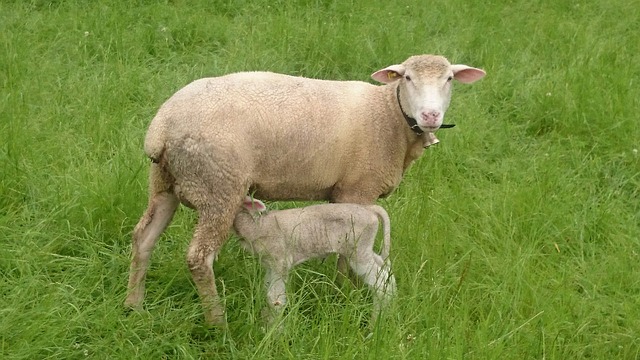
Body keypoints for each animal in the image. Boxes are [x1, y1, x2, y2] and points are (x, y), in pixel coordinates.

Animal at [235, 197, 396, 324]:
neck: (257, 225)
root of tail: (370, 209)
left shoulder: (281, 262)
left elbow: (275, 299)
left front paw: (275, 331)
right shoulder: (269, 265)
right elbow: (267, 292)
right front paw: (265, 324)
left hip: (358, 250)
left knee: (380, 283)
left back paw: (375, 323)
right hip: (364, 248)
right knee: (385, 270)